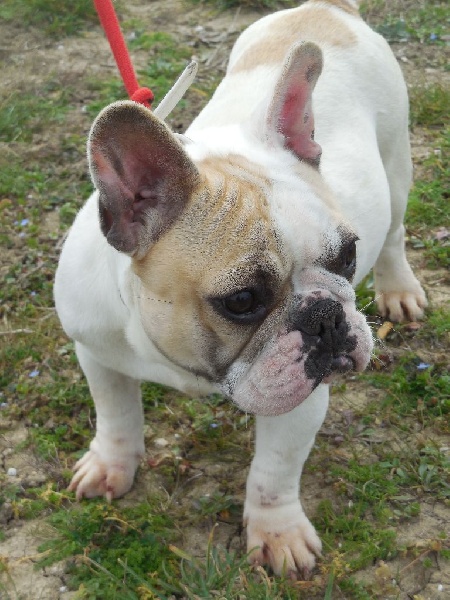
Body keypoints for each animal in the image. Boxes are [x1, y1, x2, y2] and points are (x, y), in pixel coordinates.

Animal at [54, 0, 427, 578]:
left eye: (347, 256)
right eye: (243, 302)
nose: (326, 315)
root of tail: (327, 9)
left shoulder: (301, 396)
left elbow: (275, 469)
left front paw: (277, 532)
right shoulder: (96, 353)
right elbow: (115, 414)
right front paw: (112, 463)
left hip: (396, 164)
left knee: (395, 232)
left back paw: (398, 289)